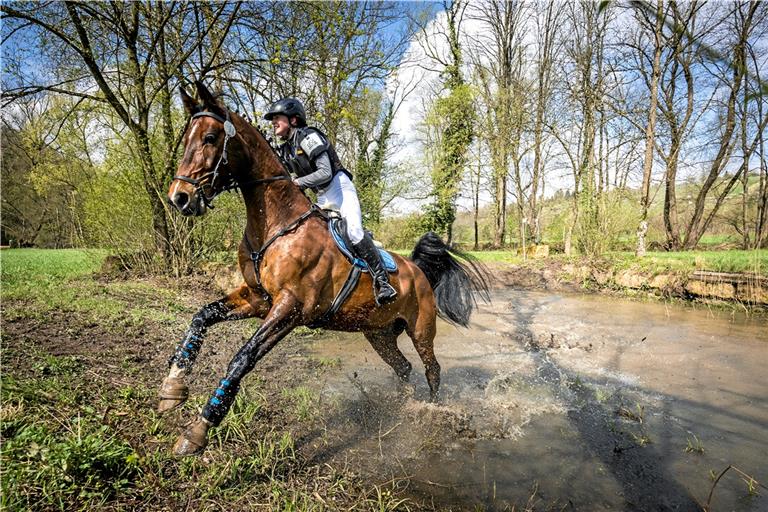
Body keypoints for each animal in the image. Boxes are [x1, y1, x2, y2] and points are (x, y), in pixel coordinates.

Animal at [159, 81, 488, 456]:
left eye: (211, 138)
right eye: (186, 138)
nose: (179, 197)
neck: (276, 225)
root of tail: (417, 269)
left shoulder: (290, 308)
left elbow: (243, 357)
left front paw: (199, 429)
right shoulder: (257, 299)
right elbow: (201, 317)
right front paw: (172, 388)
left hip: (421, 330)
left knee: (432, 369)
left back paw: (432, 412)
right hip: (378, 332)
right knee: (403, 367)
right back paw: (401, 405)